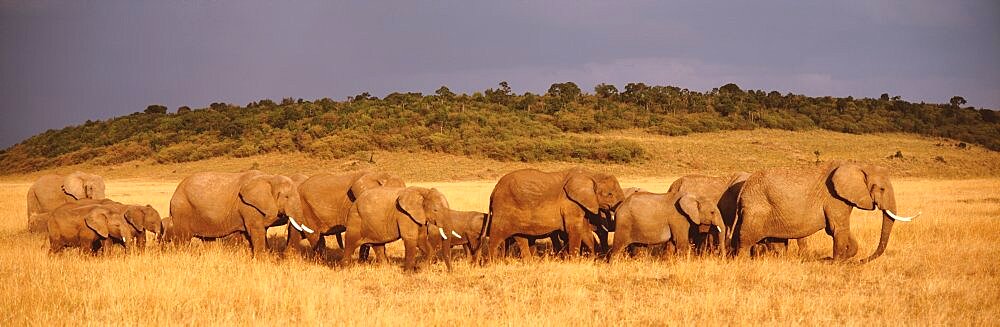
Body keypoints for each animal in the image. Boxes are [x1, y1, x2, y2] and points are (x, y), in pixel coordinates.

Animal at [168, 170, 302, 258]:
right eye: (286, 197)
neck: (270, 178)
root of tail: (175, 192)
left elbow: (253, 233)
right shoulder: (248, 206)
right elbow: (257, 231)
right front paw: (262, 261)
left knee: (208, 240)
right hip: (182, 210)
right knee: (183, 239)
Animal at [478, 168, 624, 262]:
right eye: (610, 194)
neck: (592, 174)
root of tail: (493, 191)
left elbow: (584, 231)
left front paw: (592, 260)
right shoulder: (570, 203)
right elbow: (575, 230)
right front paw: (575, 262)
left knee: (521, 237)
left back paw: (530, 263)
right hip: (504, 210)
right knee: (497, 237)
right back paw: (492, 264)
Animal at [736, 162, 920, 264]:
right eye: (881, 189)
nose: (862, 261)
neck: (859, 165)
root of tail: (744, 188)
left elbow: (835, 229)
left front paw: (836, 259)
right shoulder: (835, 197)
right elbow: (838, 228)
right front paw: (835, 263)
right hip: (757, 208)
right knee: (746, 239)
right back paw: (742, 262)